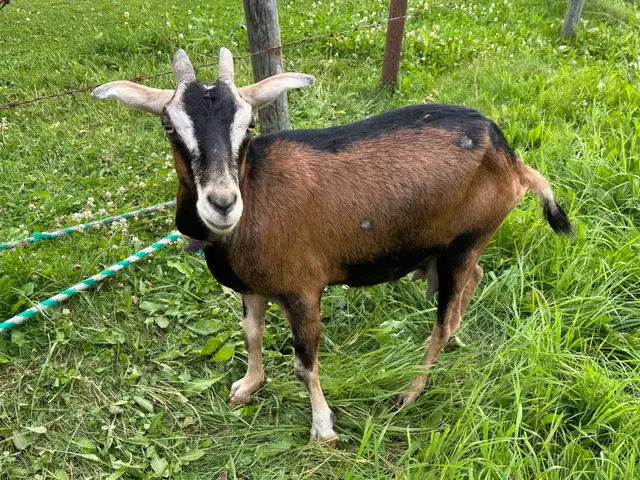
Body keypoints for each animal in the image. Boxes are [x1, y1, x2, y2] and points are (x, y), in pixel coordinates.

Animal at [92, 48, 571, 443]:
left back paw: (410, 393)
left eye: (249, 124)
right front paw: (247, 387)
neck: (256, 193)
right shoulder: (254, 286)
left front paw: (323, 428)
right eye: (168, 125)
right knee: (474, 280)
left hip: (464, 242)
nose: (223, 203)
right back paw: (453, 338)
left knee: (441, 321)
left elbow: (305, 363)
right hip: (450, 249)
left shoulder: (303, 288)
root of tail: (512, 159)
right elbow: (251, 333)